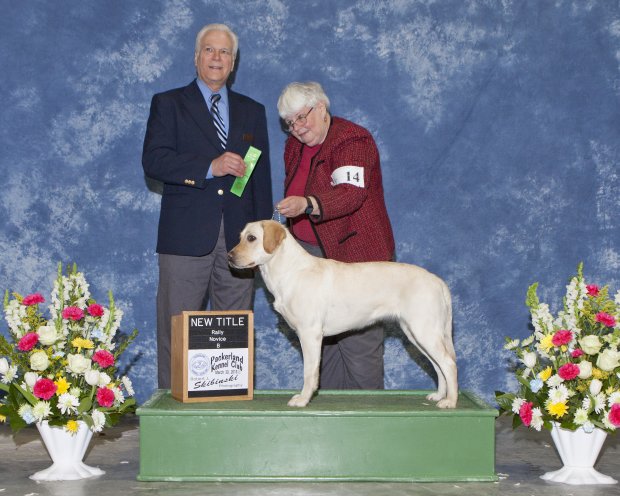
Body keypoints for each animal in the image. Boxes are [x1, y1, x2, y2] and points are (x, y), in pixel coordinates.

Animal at [228, 221, 456, 406]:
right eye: (239, 237)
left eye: (251, 238)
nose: (229, 256)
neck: (289, 271)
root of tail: (438, 281)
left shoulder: (310, 333)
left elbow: (309, 372)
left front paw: (303, 399)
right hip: (416, 333)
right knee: (438, 365)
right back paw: (439, 396)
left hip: (424, 330)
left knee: (449, 363)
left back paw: (450, 402)